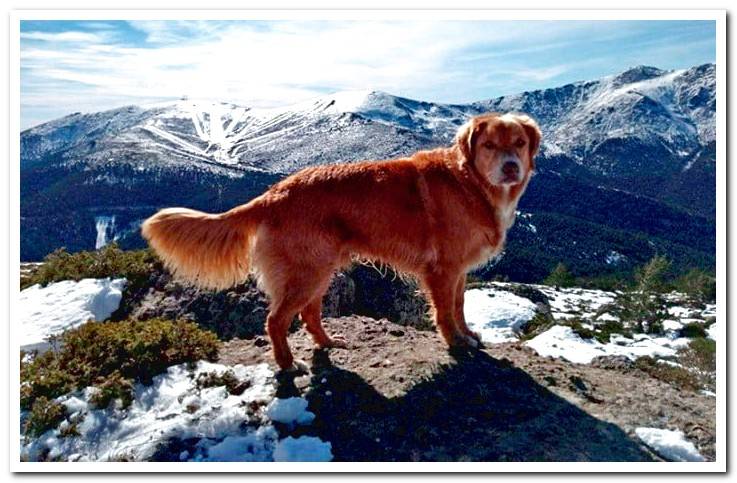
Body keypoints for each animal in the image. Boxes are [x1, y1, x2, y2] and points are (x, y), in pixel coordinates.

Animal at [141, 112, 540, 370]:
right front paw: (456, 342)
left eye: (520, 143)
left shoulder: (459, 270)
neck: (470, 182)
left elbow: (459, 305)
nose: (511, 167)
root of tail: (273, 194)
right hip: (307, 272)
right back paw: (289, 365)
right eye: (488, 145)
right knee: (275, 320)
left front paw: (469, 334)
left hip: (320, 269)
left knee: (308, 313)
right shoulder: (442, 269)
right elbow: (444, 312)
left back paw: (328, 343)